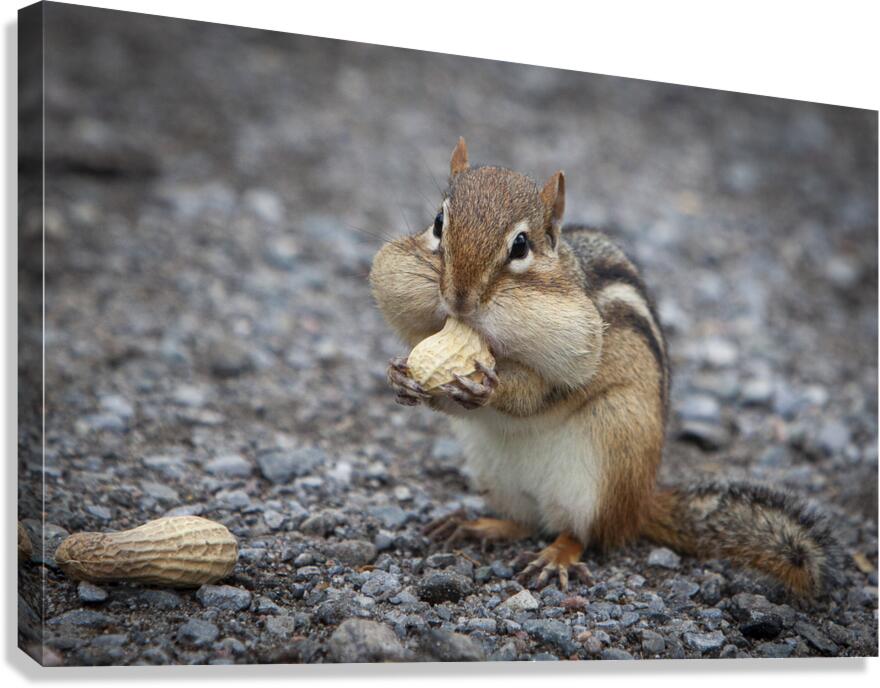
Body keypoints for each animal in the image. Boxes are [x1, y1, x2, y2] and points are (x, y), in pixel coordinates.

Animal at [369, 137, 841, 596]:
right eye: (437, 223)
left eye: (520, 245)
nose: (459, 299)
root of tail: (640, 505)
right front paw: (399, 376)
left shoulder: (577, 348)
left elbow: (537, 394)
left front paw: (490, 387)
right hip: (493, 471)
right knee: (525, 522)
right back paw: (477, 524)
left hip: (609, 450)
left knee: (582, 533)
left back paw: (556, 555)